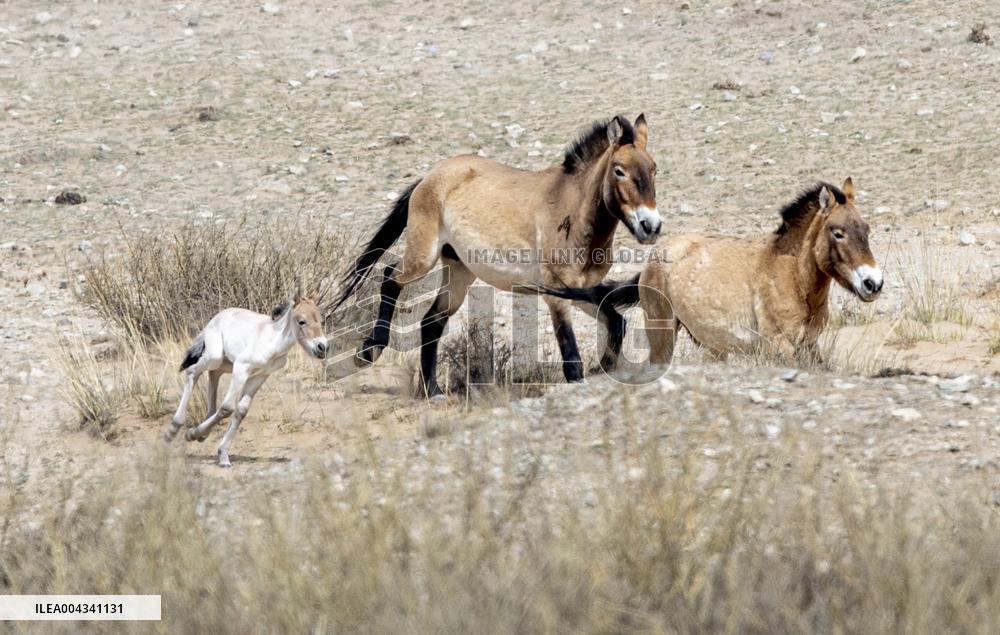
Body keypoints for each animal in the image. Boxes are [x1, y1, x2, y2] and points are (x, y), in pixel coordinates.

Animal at [163, 293, 328, 467]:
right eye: (302, 321)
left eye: (320, 320)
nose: (322, 347)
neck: (272, 342)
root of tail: (216, 317)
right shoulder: (241, 369)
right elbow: (227, 408)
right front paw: (192, 434)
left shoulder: (260, 376)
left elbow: (241, 410)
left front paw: (222, 454)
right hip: (215, 357)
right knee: (193, 371)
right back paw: (173, 430)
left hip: (226, 363)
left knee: (213, 374)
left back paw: (202, 433)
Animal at [332, 114, 661, 398]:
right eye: (619, 170)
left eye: (654, 168)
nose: (651, 226)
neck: (571, 210)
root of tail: (430, 176)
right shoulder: (556, 295)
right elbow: (572, 357)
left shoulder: (579, 290)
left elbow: (616, 323)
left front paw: (602, 370)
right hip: (422, 257)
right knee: (390, 278)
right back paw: (368, 353)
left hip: (459, 270)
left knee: (431, 321)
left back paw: (432, 391)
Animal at [540, 178, 883, 366]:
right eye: (838, 232)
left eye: (866, 229)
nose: (873, 283)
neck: (791, 277)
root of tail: (655, 258)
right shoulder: (779, 348)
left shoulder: (809, 347)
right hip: (662, 334)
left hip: (713, 347)